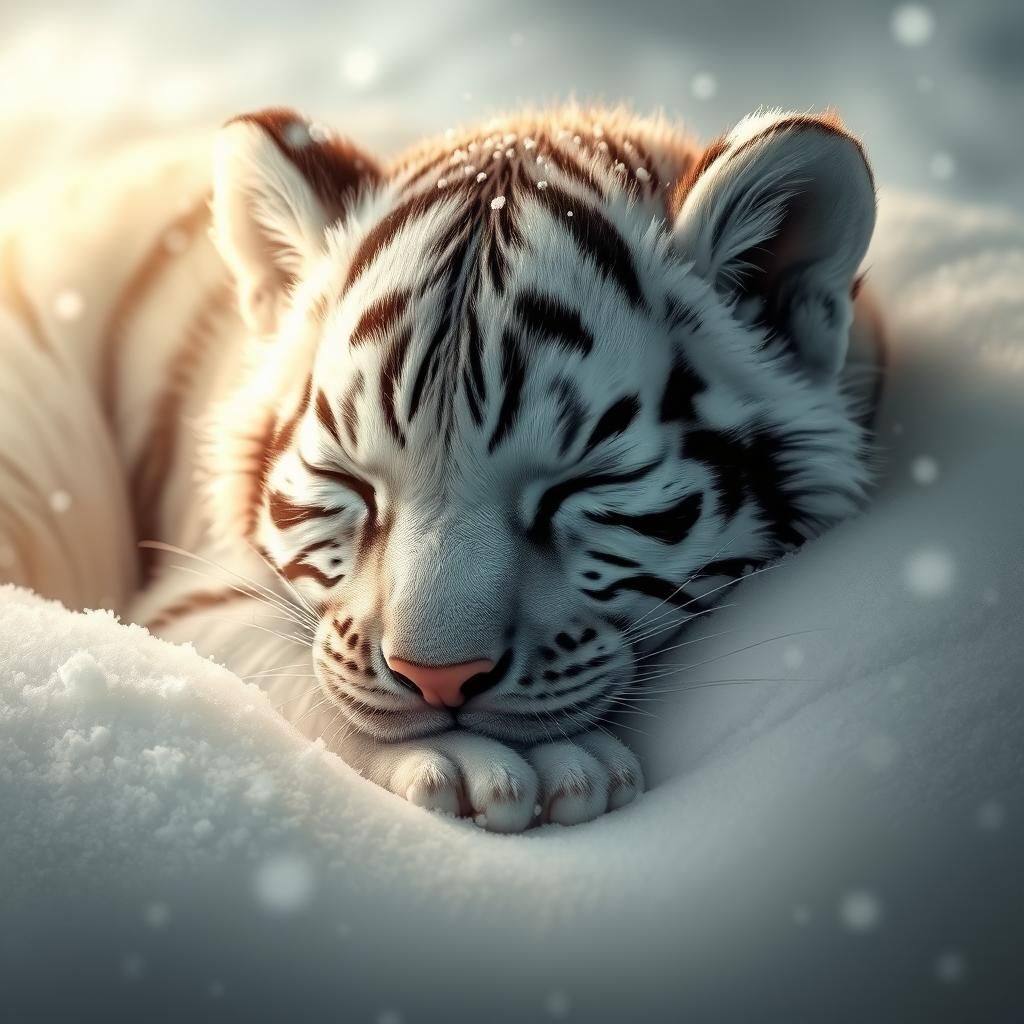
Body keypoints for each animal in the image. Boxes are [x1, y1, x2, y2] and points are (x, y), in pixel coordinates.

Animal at [0, 103, 883, 832]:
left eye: (583, 488)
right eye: (352, 486)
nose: (437, 681)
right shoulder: (191, 596)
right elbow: (288, 658)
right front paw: (509, 766)